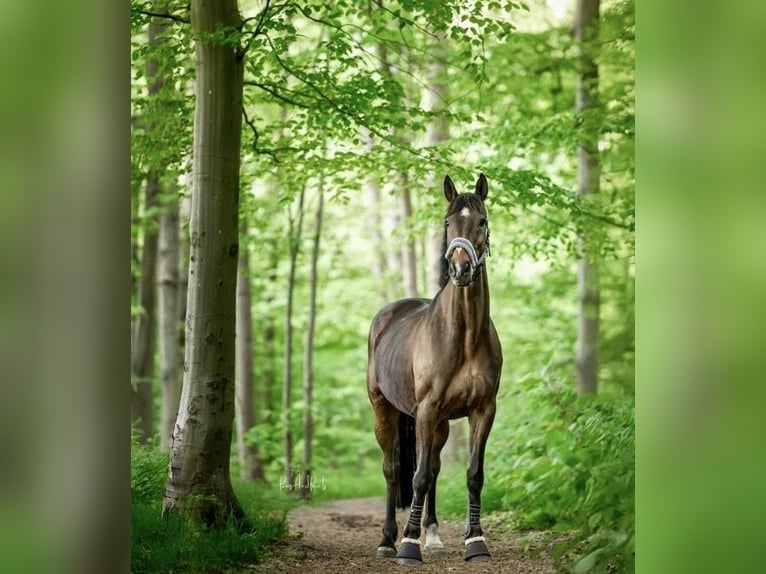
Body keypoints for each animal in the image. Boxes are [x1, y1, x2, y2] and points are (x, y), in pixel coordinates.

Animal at [366, 173, 503, 564]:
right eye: (447, 223)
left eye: (481, 221)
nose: (460, 269)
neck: (464, 337)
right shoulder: (426, 410)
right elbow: (418, 476)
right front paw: (408, 546)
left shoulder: (483, 410)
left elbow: (473, 474)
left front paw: (475, 542)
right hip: (386, 410)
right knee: (393, 469)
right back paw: (388, 540)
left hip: (439, 422)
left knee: (436, 469)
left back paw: (432, 534)